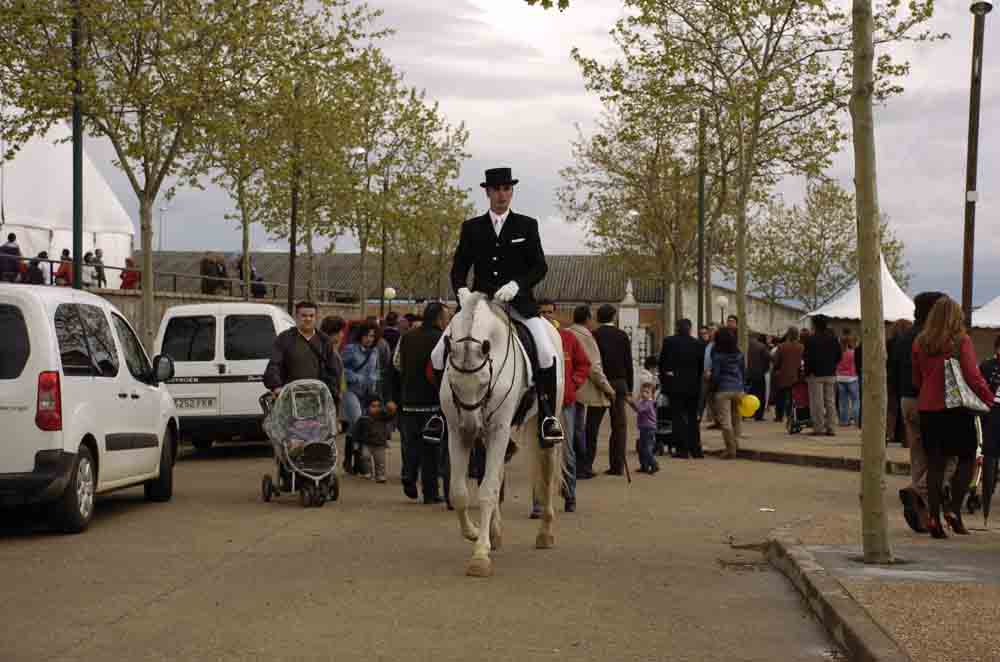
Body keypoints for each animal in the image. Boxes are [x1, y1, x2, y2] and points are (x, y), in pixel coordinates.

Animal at [442, 294, 568, 580]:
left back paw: (545, 533)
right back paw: (495, 533)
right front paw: (475, 533)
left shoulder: (498, 429)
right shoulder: (457, 432)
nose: (471, 428)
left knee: (547, 471)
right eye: (452, 381)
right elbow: (458, 492)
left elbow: (487, 491)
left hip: (541, 426)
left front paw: (480, 556)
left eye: (483, 382)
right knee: (497, 474)